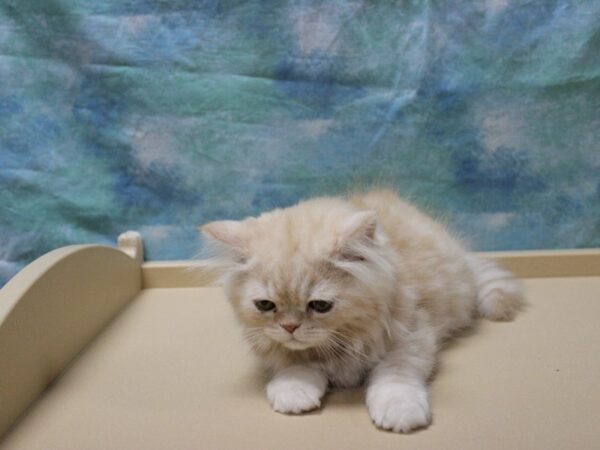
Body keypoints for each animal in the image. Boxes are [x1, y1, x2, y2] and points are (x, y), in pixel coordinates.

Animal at [200, 189, 520, 432]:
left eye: (320, 306)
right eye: (265, 305)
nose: (290, 327)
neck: (345, 340)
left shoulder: (412, 335)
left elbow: (396, 376)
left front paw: (399, 410)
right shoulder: (276, 345)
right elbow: (294, 363)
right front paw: (293, 390)